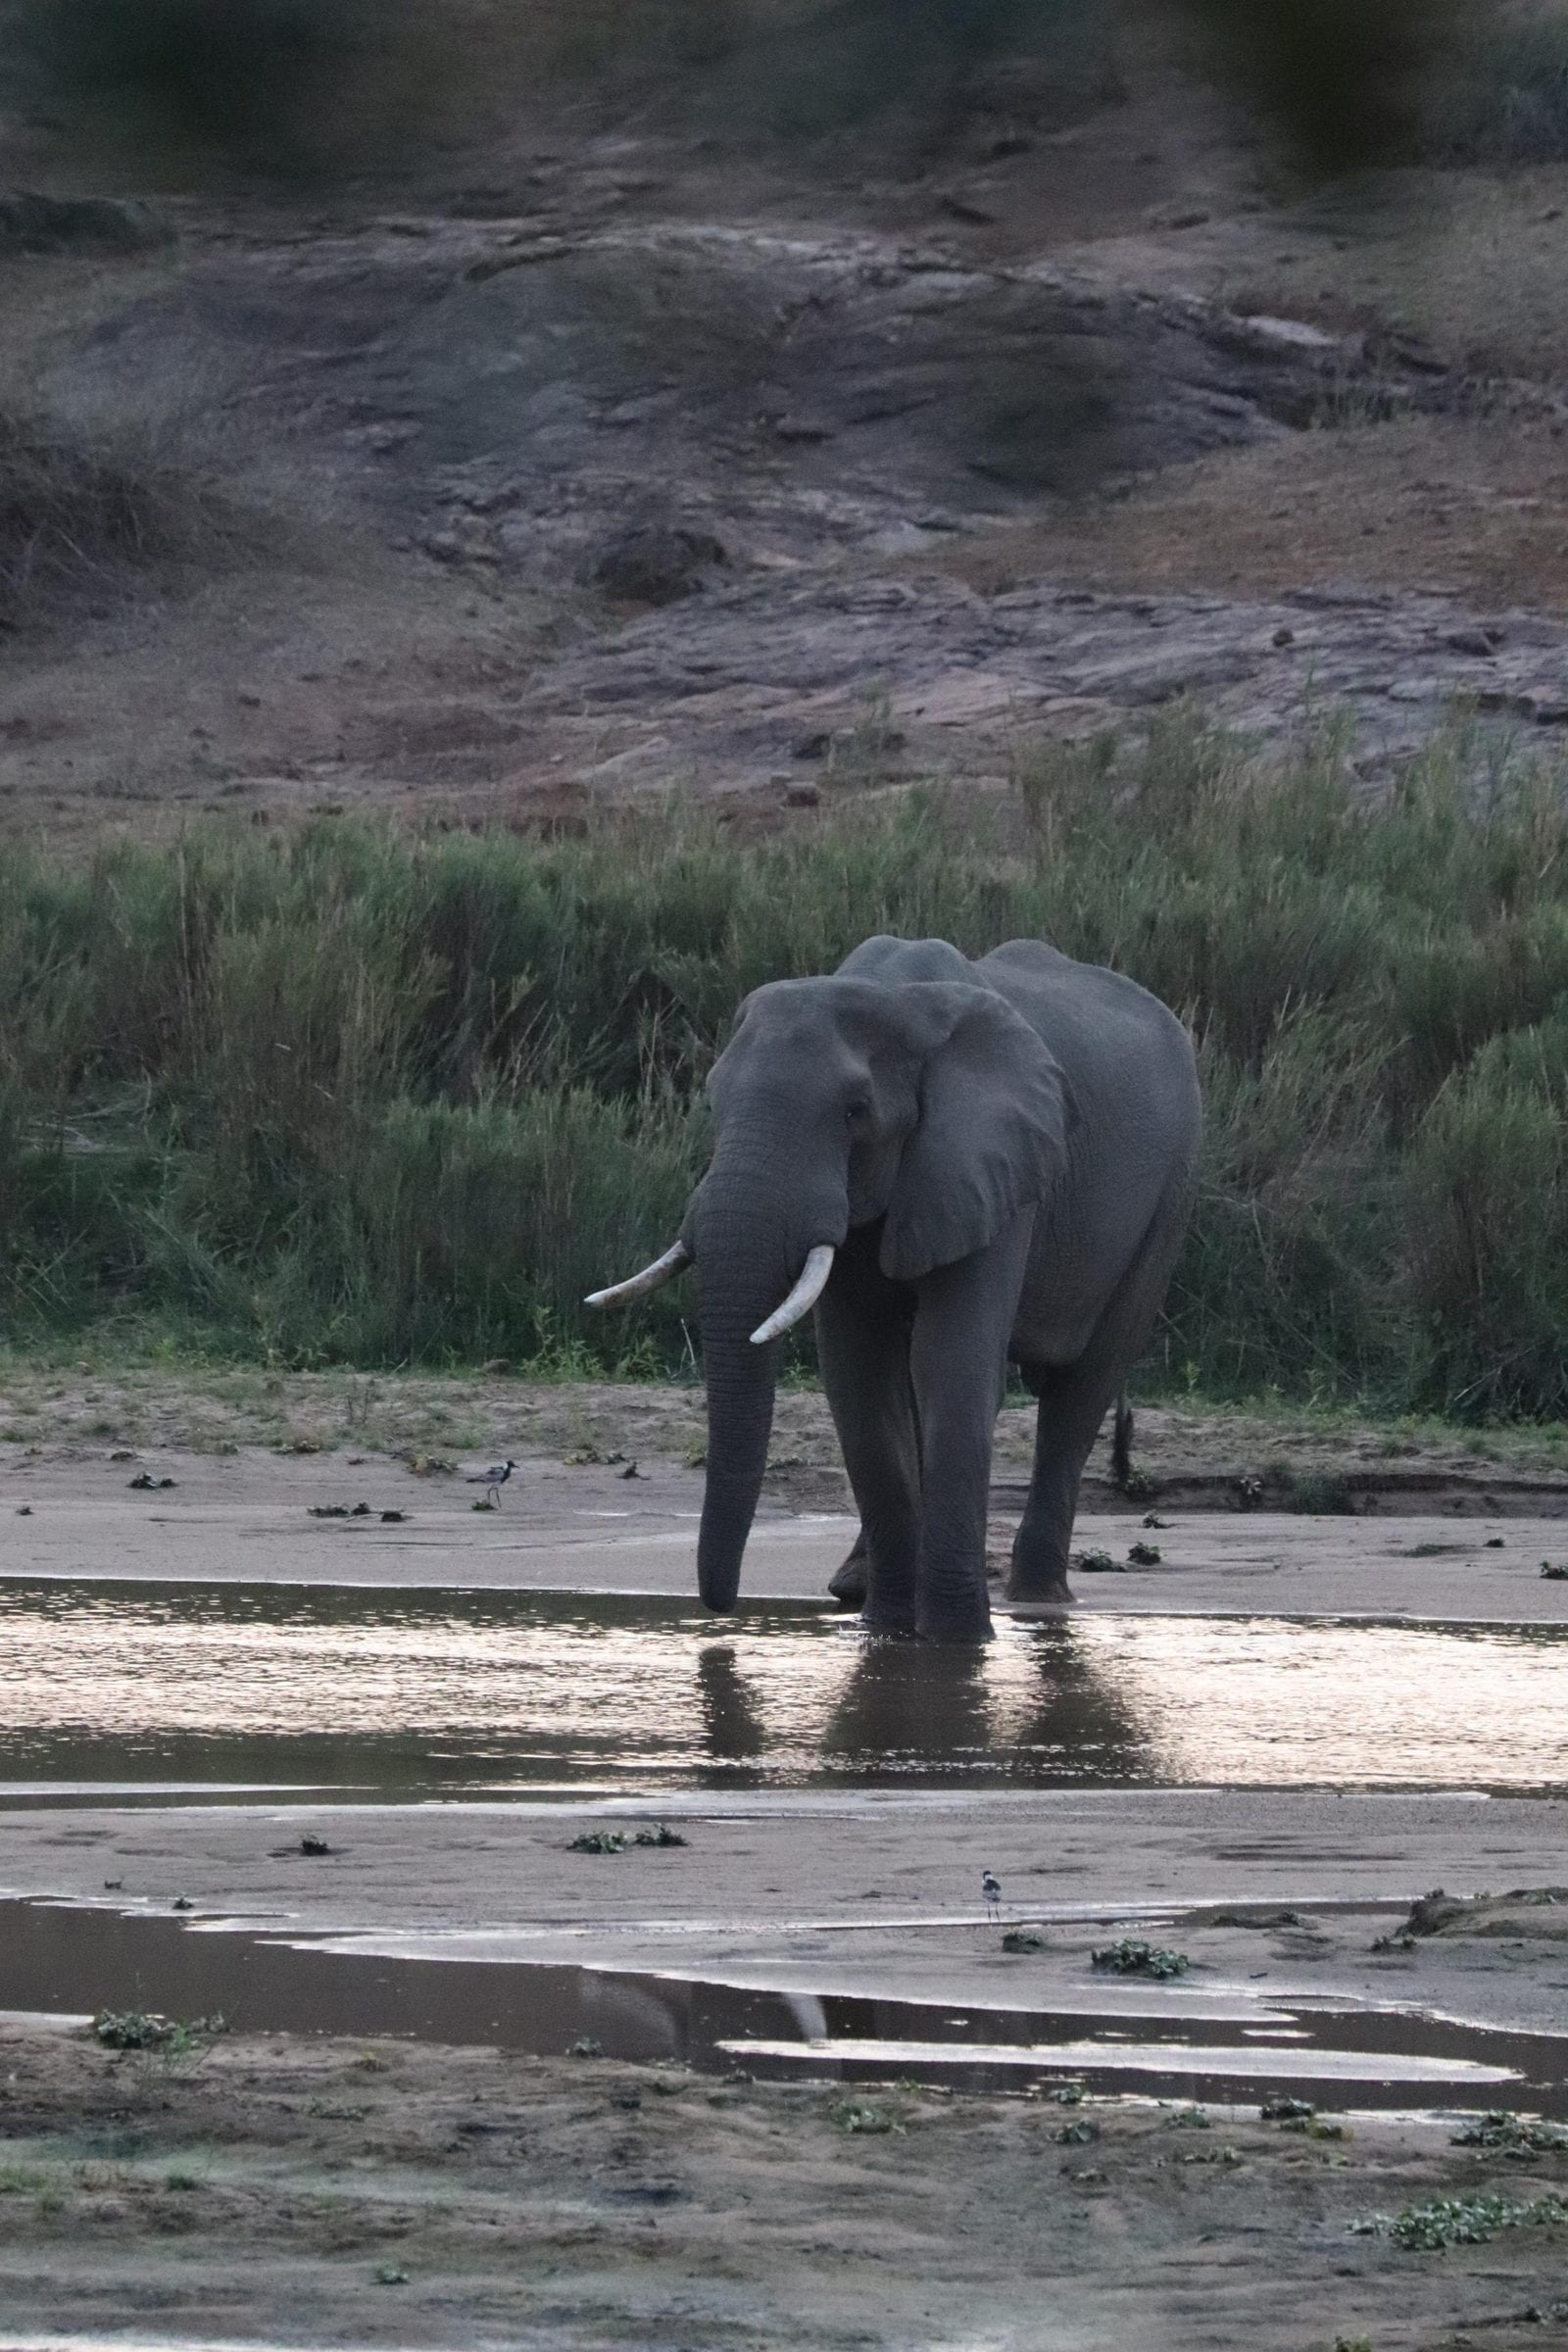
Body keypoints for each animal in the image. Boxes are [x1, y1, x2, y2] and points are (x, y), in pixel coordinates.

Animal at [588, 934, 1201, 1643]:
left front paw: (958, 1641)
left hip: (1169, 1198)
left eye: (856, 1112)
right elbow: (861, 1377)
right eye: (712, 1103)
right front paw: (886, 1631)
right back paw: (860, 1590)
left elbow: (950, 1365)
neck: (889, 998)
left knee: (1082, 1390)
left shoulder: (990, 1163)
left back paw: (1039, 1601)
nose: (720, 1609)